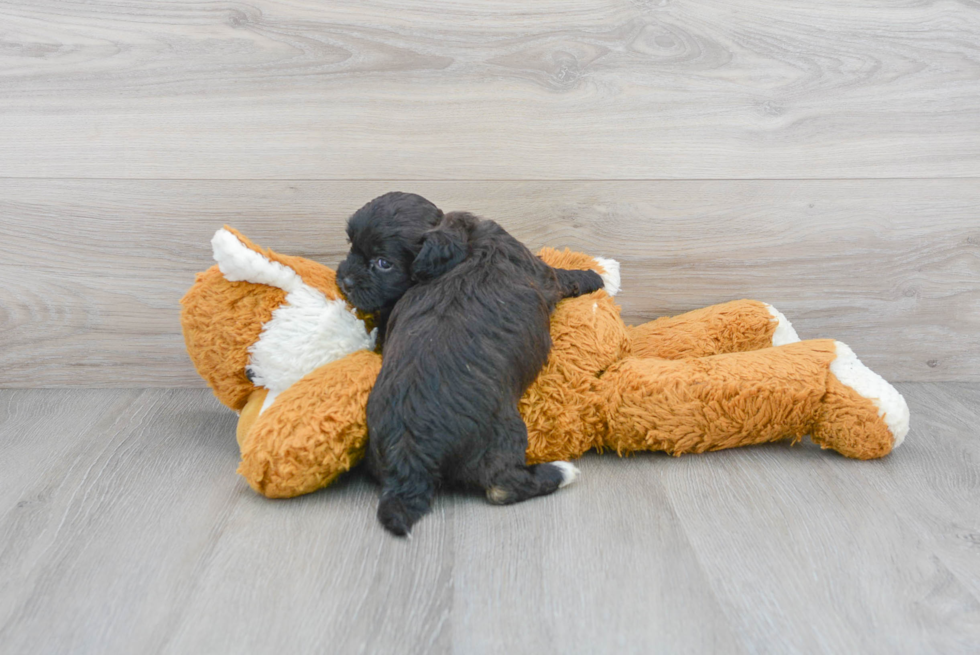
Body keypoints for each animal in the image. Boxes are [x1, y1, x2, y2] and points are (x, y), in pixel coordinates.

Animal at [334, 191, 604, 540]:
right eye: (351, 245)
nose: (344, 280)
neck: (466, 243)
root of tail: (411, 459)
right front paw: (594, 275)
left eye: (383, 263)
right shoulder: (542, 273)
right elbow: (563, 275)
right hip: (505, 434)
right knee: (502, 486)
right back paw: (561, 471)